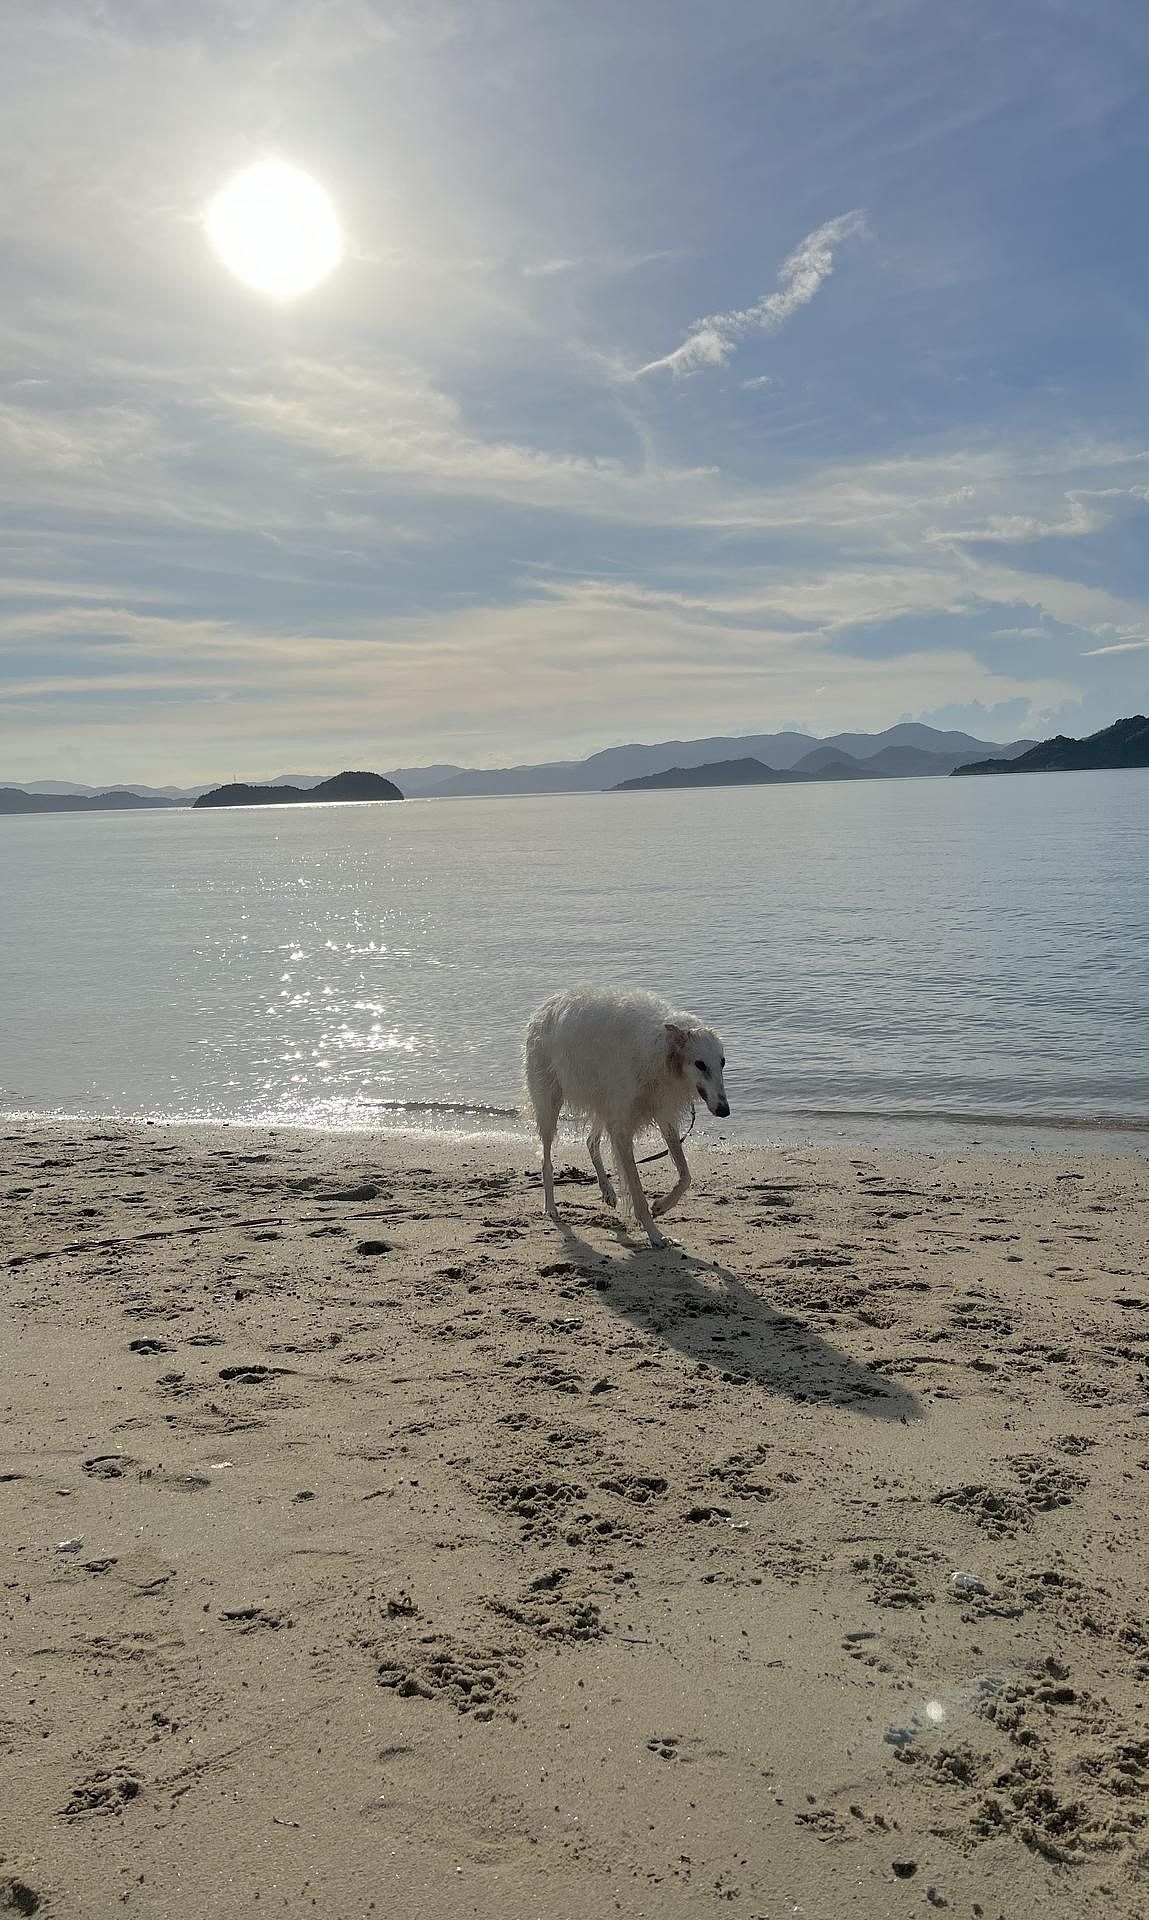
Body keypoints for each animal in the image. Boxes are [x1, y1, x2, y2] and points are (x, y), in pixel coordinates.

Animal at [526, 990, 730, 1244]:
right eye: (700, 1064)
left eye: (722, 1062)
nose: (724, 1110)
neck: (658, 1050)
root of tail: (548, 1003)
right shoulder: (623, 1131)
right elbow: (637, 1190)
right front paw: (655, 1233)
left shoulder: (662, 1114)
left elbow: (685, 1175)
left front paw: (661, 1206)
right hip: (550, 1103)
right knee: (546, 1161)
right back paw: (551, 1207)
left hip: (603, 1104)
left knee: (591, 1142)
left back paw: (608, 1192)